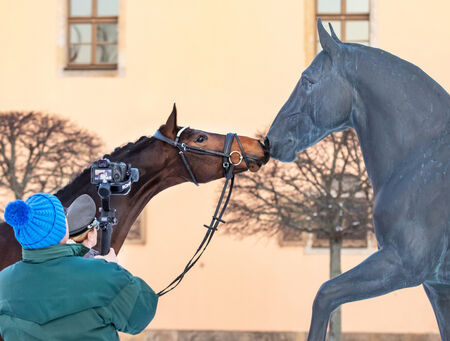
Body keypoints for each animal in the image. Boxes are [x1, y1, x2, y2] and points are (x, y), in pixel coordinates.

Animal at [266, 20, 448, 340]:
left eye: (307, 80)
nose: (271, 140)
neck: (422, 156)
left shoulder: (402, 265)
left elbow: (324, 295)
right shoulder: (437, 286)